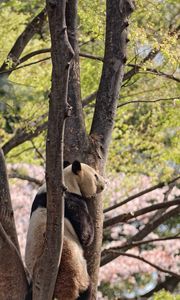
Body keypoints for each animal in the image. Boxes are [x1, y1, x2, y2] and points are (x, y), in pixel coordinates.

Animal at [24, 162, 105, 300]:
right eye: (95, 175)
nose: (104, 184)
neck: (67, 180)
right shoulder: (71, 201)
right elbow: (85, 233)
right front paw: (88, 237)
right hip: (72, 269)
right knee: (85, 287)